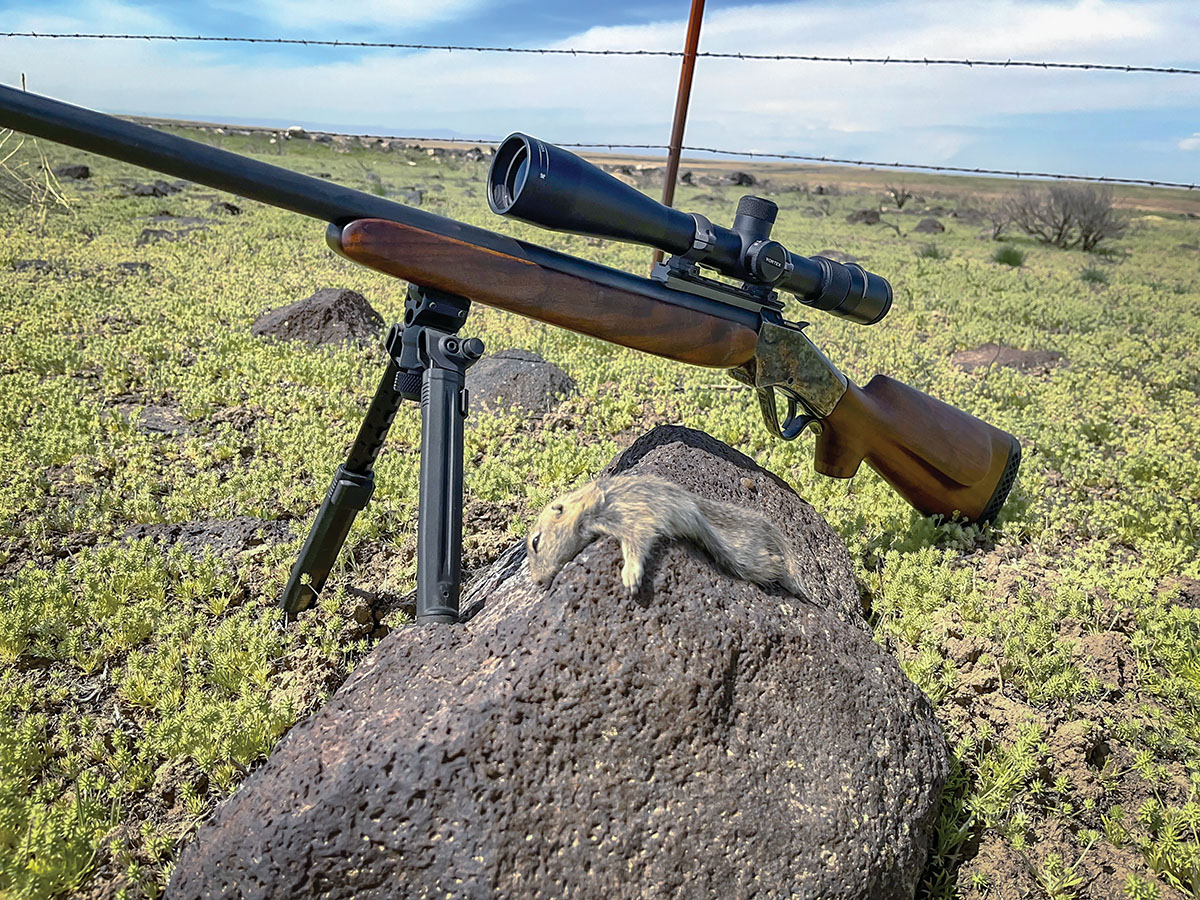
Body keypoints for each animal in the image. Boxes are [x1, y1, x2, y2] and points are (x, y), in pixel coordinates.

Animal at [526, 474, 814, 601]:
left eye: (536, 542)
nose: (538, 582)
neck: (590, 503)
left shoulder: (632, 517)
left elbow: (637, 542)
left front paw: (630, 576)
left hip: (745, 557)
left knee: (774, 564)